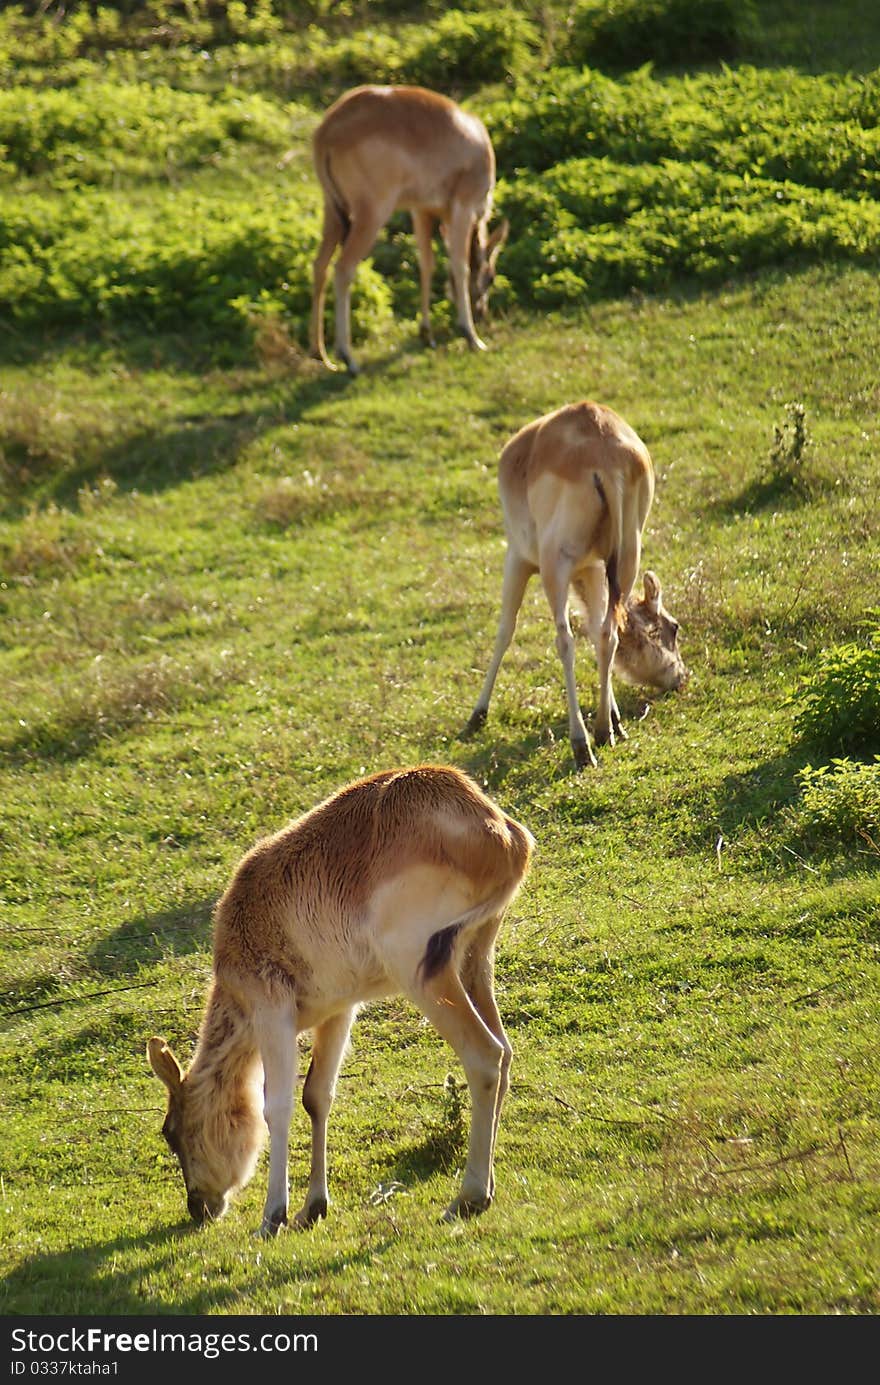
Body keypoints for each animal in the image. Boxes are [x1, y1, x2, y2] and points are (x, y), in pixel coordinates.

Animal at [148, 770, 534, 1235]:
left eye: (171, 1132)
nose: (198, 1206)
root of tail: (500, 832)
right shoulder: (339, 1011)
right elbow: (317, 1095)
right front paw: (313, 1206)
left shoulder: (271, 1014)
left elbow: (276, 1106)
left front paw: (273, 1216)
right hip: (475, 963)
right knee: (506, 1053)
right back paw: (487, 1188)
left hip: (423, 975)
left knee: (484, 1056)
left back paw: (468, 1196)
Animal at [307, 85, 509, 373]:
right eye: (491, 277)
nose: (482, 313)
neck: (476, 142)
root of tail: (328, 130)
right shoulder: (463, 208)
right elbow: (460, 266)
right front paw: (471, 336)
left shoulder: (421, 211)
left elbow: (427, 264)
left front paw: (426, 334)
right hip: (371, 215)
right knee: (343, 269)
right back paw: (348, 357)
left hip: (332, 212)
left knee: (319, 266)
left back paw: (320, 353)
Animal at [460, 401, 687, 775]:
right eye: (674, 627)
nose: (681, 676)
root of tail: (603, 448)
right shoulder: (592, 569)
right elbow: (597, 630)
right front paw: (614, 718)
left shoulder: (518, 558)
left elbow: (505, 630)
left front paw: (476, 717)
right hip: (626, 556)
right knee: (607, 633)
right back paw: (604, 730)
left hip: (555, 566)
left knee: (564, 640)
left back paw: (581, 744)